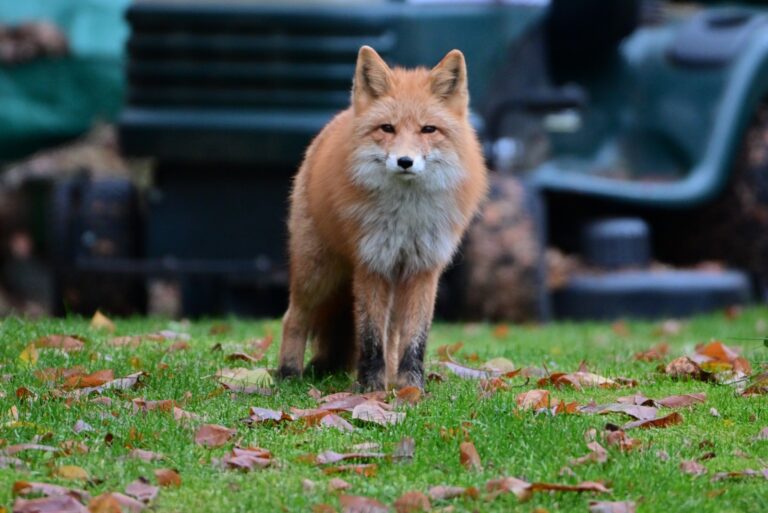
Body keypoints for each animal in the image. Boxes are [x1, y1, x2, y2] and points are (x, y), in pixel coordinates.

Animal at [277, 46, 488, 390]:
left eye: (428, 129)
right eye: (387, 128)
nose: (405, 161)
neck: (406, 217)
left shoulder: (423, 269)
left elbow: (413, 340)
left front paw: (410, 388)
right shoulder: (372, 264)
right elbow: (370, 336)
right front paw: (370, 389)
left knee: (392, 335)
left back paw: (389, 378)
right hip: (318, 273)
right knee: (293, 317)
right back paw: (287, 374)